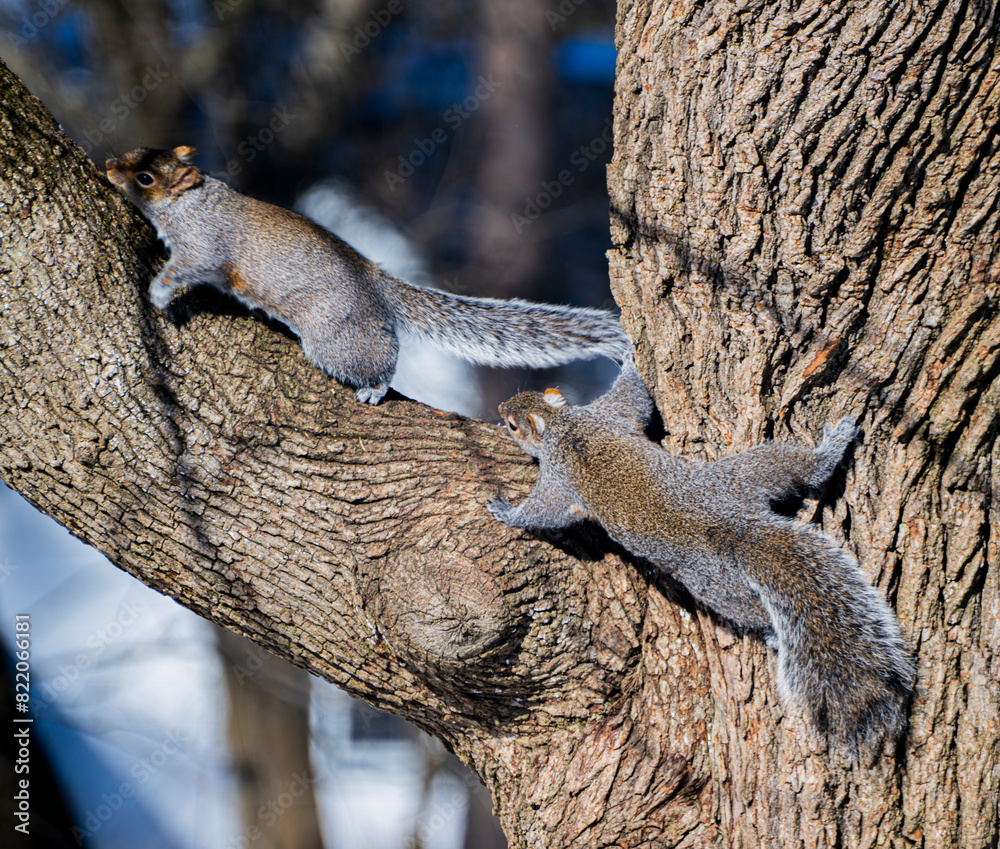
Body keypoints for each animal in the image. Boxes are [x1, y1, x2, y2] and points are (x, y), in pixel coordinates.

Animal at [105, 146, 629, 404]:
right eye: (136, 150)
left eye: (147, 178)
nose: (108, 165)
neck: (191, 200)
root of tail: (373, 281)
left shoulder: (205, 243)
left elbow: (189, 266)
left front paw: (158, 291)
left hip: (338, 338)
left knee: (378, 358)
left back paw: (375, 387)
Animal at [487, 355, 915, 749]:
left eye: (512, 424)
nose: (499, 408)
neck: (561, 426)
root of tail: (731, 527)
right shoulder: (607, 418)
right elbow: (636, 402)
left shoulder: (568, 462)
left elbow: (547, 508)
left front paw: (507, 512)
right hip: (746, 479)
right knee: (790, 472)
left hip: (717, 571)